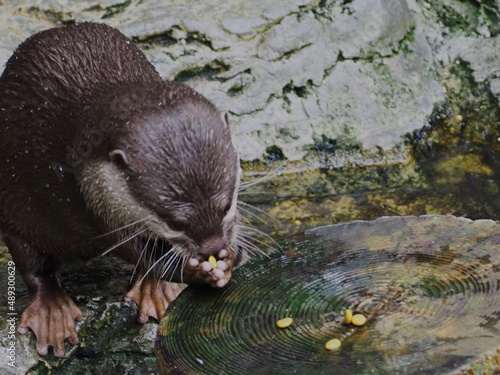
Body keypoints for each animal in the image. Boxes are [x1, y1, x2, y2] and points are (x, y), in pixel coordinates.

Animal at [0, 22, 244, 356]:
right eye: (175, 222)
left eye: (226, 205)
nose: (213, 248)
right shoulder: (99, 204)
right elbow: (137, 252)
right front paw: (196, 271)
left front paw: (230, 259)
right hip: (15, 210)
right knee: (34, 266)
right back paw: (51, 312)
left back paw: (156, 292)